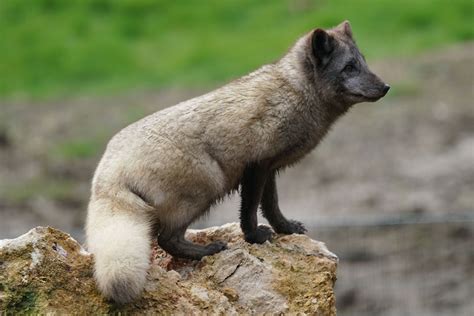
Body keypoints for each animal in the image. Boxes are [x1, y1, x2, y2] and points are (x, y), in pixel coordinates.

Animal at [85, 21, 388, 302]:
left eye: (362, 62)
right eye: (349, 67)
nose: (386, 87)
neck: (296, 93)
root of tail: (105, 172)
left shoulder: (270, 167)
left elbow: (272, 205)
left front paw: (286, 229)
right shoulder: (256, 164)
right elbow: (250, 209)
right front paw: (254, 237)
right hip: (206, 187)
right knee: (166, 238)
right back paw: (206, 251)